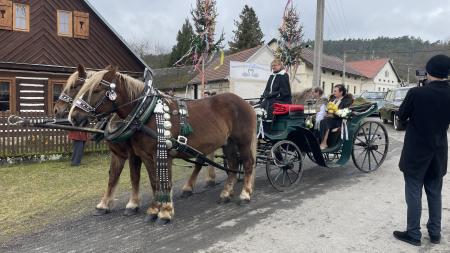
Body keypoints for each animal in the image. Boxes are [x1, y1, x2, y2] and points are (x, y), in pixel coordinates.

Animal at [54, 65, 142, 215]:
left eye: (74, 86)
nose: (56, 109)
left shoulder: (134, 152)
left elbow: (134, 175)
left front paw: (133, 203)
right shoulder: (117, 152)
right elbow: (113, 176)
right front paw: (104, 203)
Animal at [68, 67, 255, 223]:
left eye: (96, 90)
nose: (73, 118)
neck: (146, 114)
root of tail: (246, 103)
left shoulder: (162, 154)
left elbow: (164, 183)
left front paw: (165, 212)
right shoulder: (145, 156)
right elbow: (153, 182)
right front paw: (153, 210)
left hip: (243, 141)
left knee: (247, 164)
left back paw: (245, 195)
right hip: (228, 143)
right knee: (232, 164)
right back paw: (225, 194)